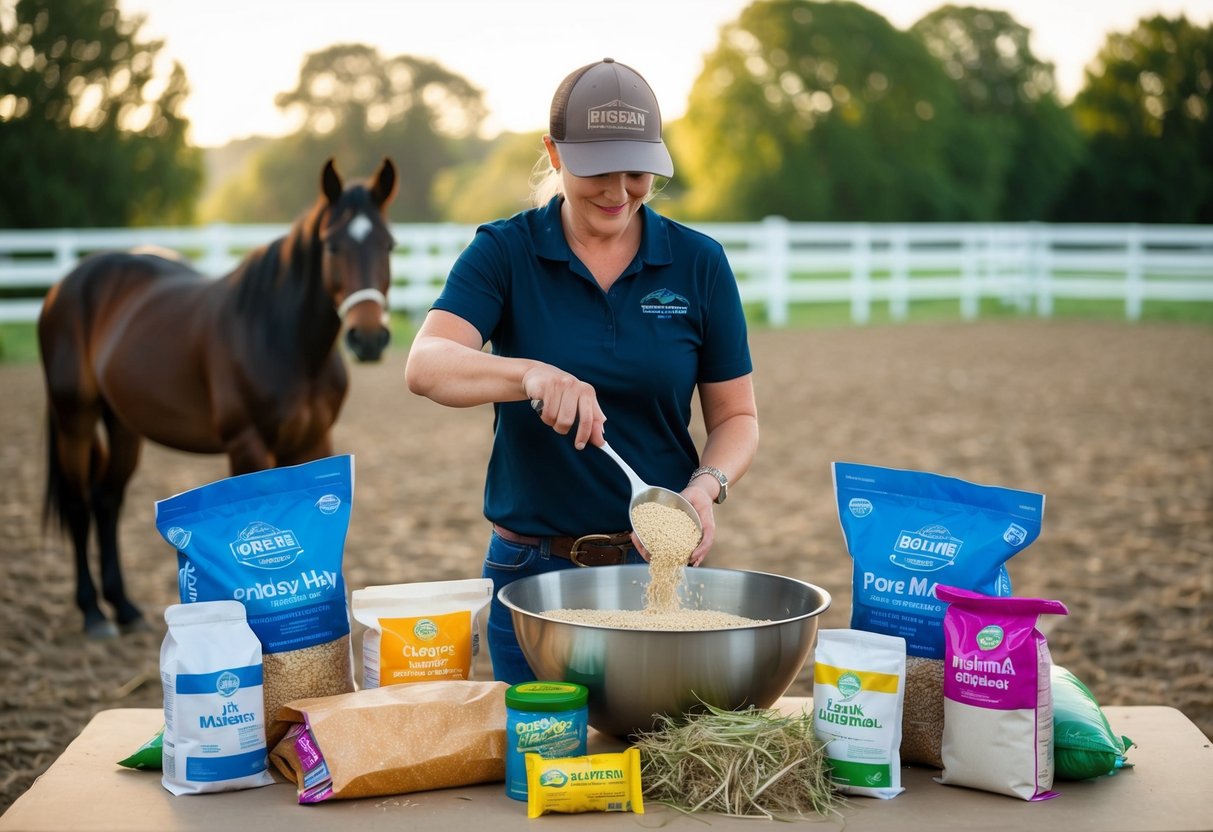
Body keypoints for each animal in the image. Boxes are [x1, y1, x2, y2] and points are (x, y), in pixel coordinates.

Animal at [36, 156, 397, 640]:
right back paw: (94, 614)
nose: (369, 339)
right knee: (78, 506)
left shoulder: (313, 442)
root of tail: (66, 285)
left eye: (389, 244)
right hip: (73, 417)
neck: (282, 336)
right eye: (332, 245)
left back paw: (125, 608)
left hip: (122, 423)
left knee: (106, 501)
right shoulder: (247, 447)